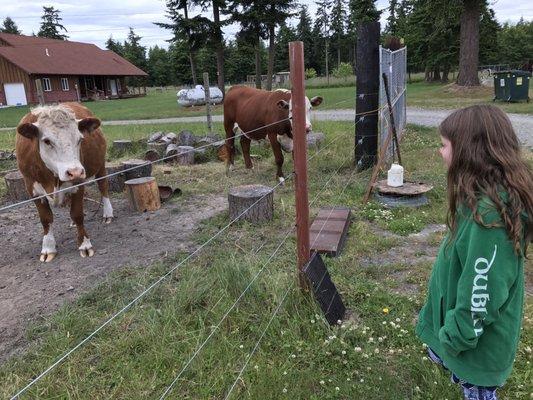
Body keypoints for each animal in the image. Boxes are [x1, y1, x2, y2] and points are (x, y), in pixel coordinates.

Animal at [15, 102, 112, 262]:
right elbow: (46, 219)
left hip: (100, 165)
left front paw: (85, 245)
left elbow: (78, 214)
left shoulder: (78, 183)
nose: (75, 171)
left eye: (80, 139)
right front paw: (48, 248)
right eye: (47, 141)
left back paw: (108, 214)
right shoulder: (32, 188)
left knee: (103, 187)